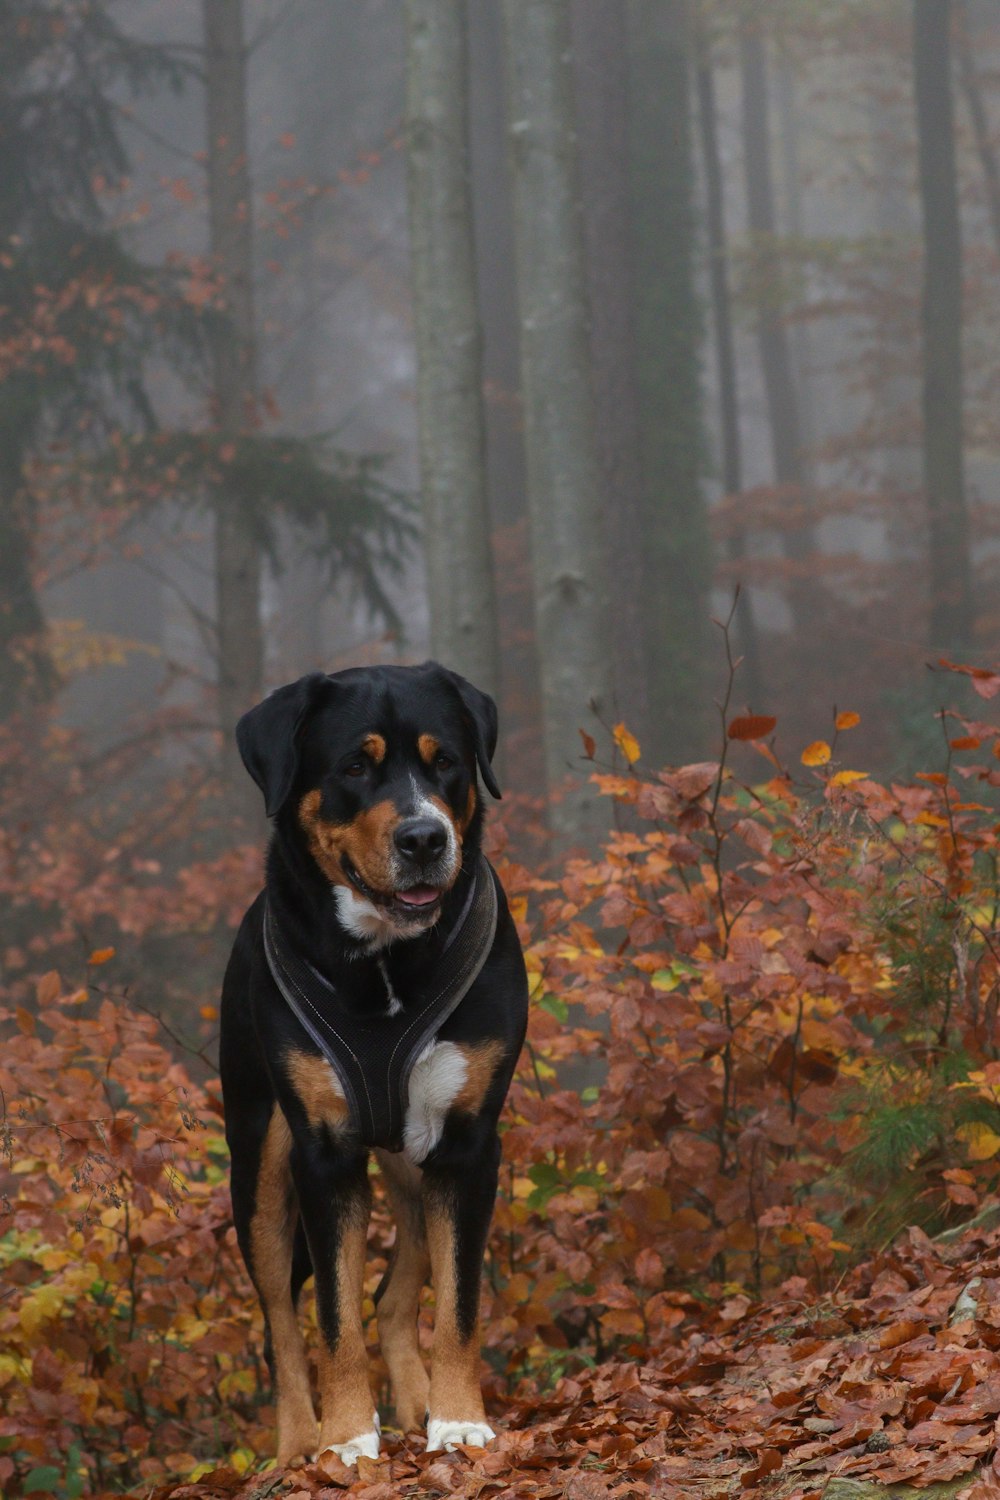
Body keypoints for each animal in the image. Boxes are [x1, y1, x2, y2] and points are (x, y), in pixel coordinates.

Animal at [220, 666, 530, 1464]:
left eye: (444, 761)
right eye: (355, 767)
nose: (424, 837)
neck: (387, 962)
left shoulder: (466, 1143)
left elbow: (457, 1303)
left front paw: (458, 1420)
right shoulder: (323, 1153)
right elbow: (332, 1315)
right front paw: (348, 1437)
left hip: (413, 1161)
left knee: (395, 1295)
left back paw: (418, 1405)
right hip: (258, 1163)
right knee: (279, 1320)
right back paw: (299, 1444)